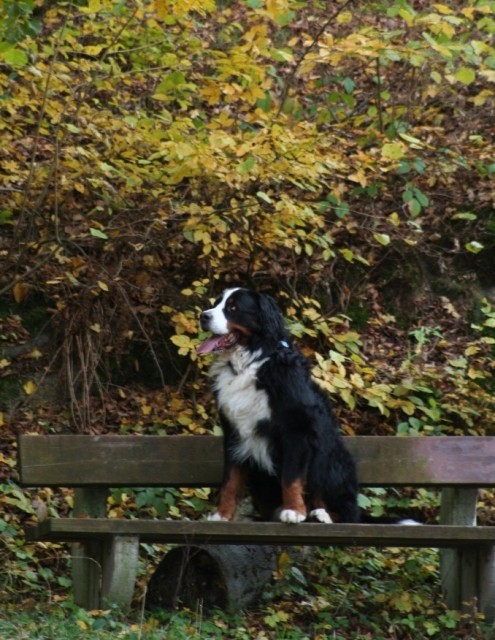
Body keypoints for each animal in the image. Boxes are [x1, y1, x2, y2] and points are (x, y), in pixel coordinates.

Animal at [196, 288, 416, 524]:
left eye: (233, 308)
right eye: (217, 303)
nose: (203, 316)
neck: (250, 362)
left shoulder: (297, 428)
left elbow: (290, 475)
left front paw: (294, 511)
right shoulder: (234, 432)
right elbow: (230, 480)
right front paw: (222, 514)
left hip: (330, 460)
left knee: (347, 513)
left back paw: (319, 515)